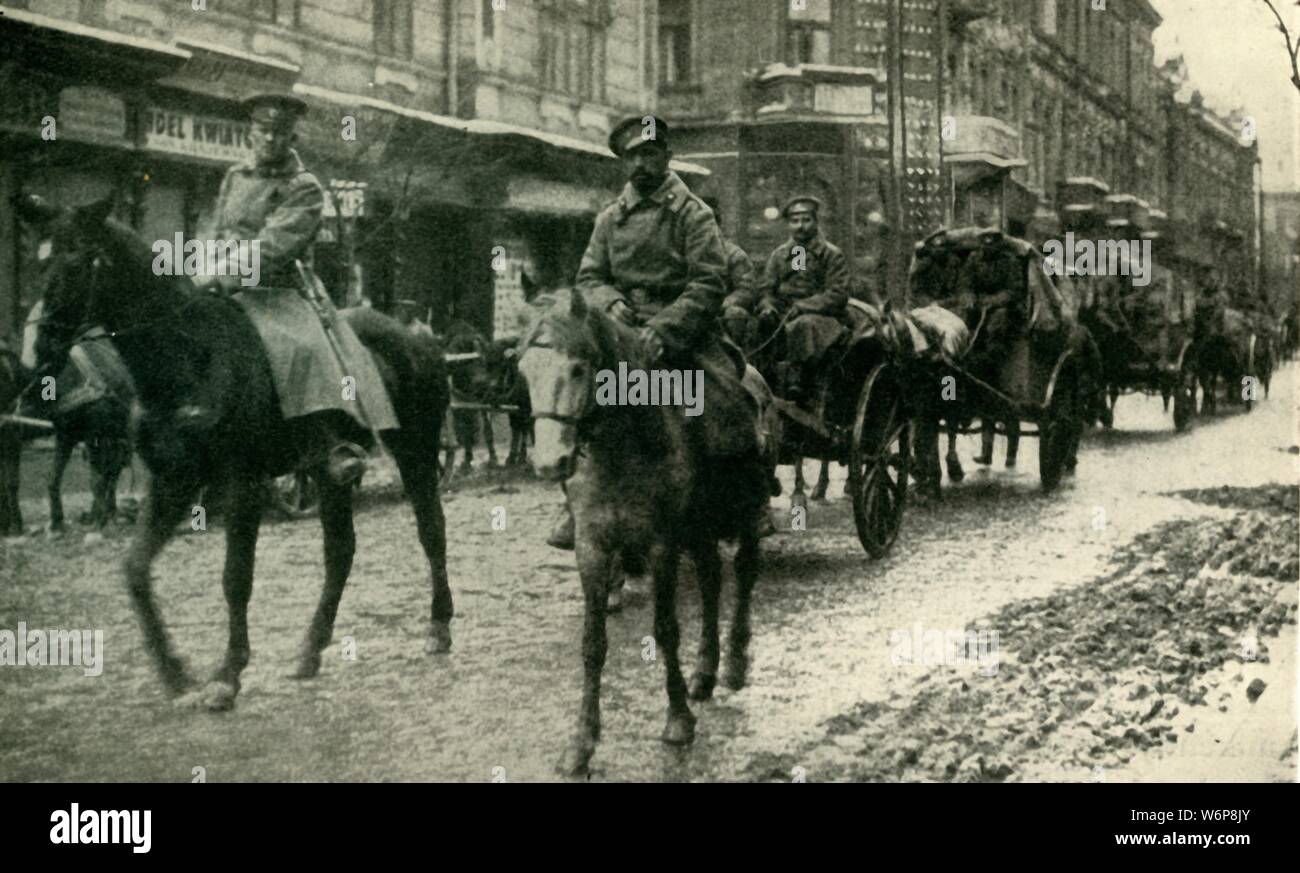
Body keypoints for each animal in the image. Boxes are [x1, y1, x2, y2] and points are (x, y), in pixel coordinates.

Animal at [22, 197, 454, 706]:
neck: (190, 357)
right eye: (37, 261)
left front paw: (227, 675)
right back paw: (310, 649)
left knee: (431, 531)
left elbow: (235, 577)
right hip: (330, 474)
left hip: (418, 451)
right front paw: (174, 671)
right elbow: (135, 569)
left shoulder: (241, 483)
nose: (37, 352)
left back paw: (439, 626)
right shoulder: (173, 482)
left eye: (74, 261)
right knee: (340, 550)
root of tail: (419, 338)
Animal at [512, 288, 764, 779]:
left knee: (744, 573)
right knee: (711, 581)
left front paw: (678, 720)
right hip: (698, 529)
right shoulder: (591, 547)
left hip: (744, 512)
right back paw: (705, 672)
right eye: (525, 371)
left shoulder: (661, 544)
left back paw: (735, 663)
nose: (550, 462)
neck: (623, 445)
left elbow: (666, 629)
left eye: (578, 367)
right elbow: (592, 644)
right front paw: (581, 743)